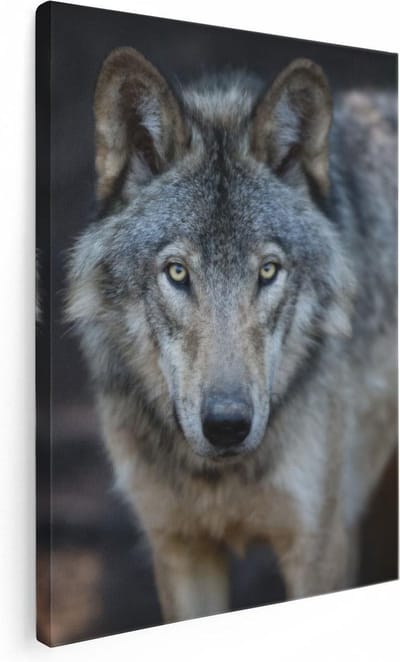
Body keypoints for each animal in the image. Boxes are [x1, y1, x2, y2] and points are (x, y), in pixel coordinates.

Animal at [66, 47, 397, 623]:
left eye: (267, 271)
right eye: (177, 272)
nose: (226, 426)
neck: (218, 478)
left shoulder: (319, 546)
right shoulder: (180, 550)